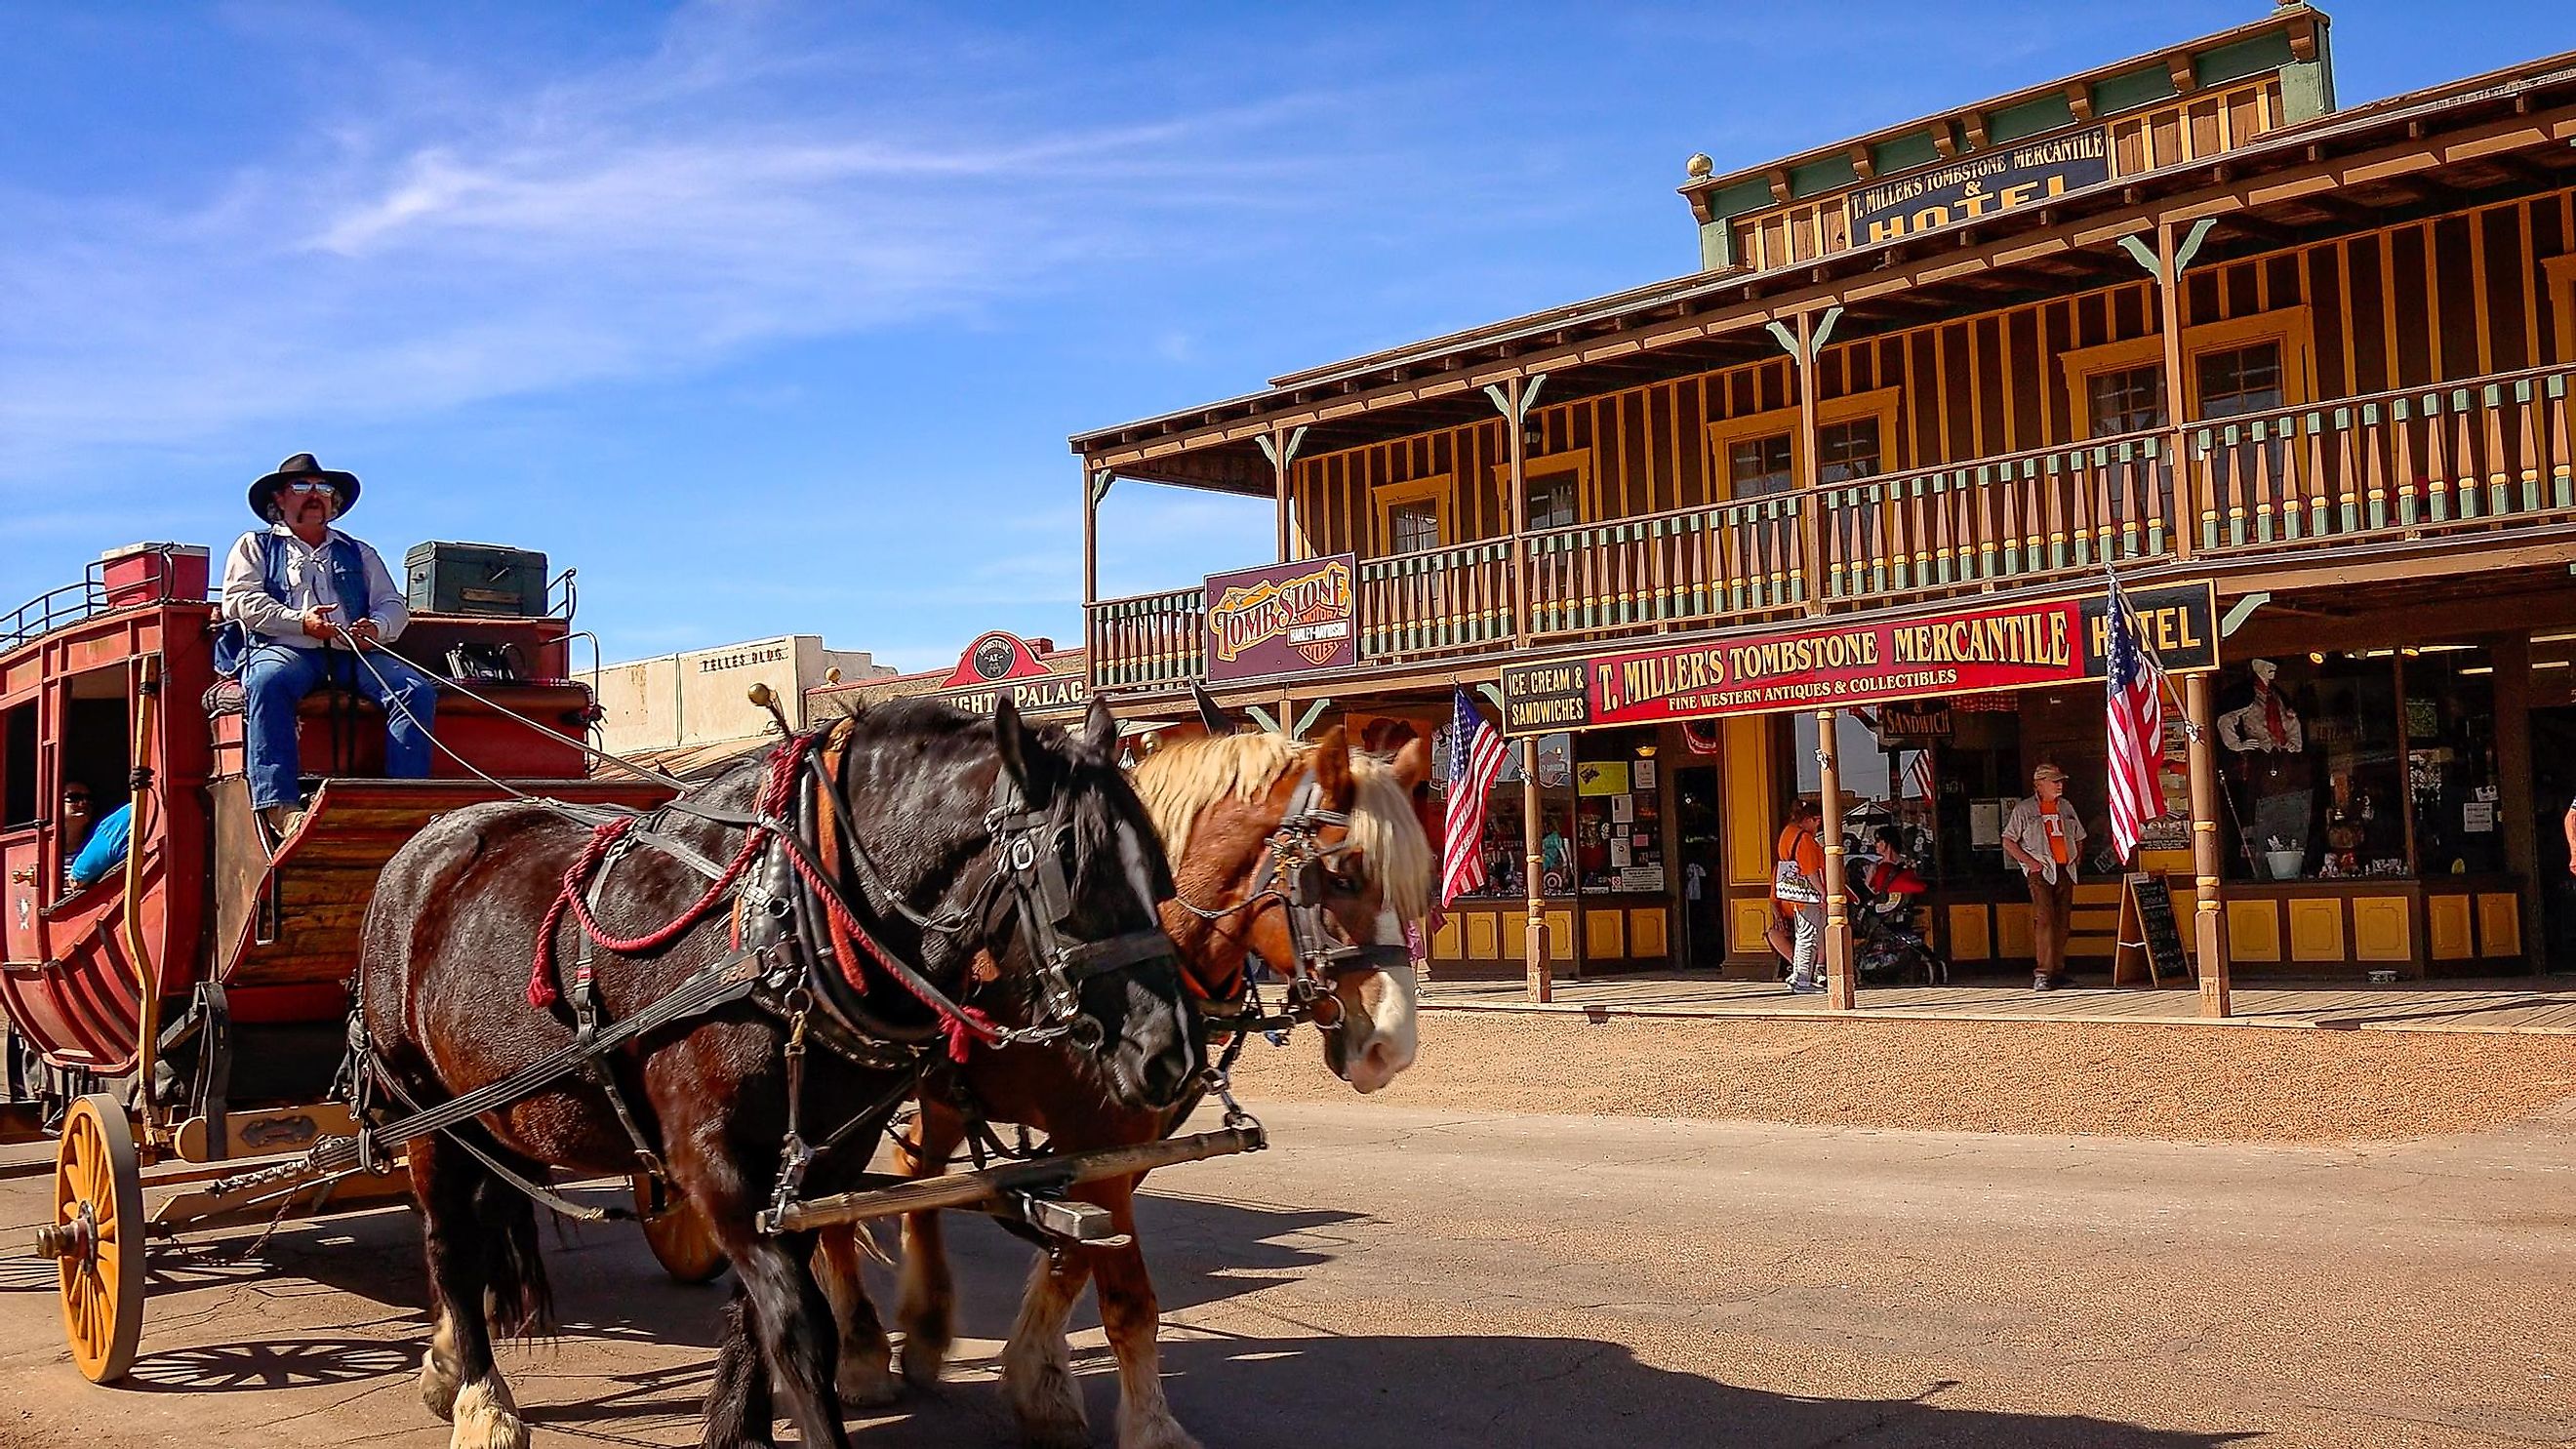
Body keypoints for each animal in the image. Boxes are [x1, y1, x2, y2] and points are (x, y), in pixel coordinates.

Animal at [357, 701, 1200, 1443]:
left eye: (1157, 869)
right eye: (1070, 868)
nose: (1173, 1051)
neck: (787, 920)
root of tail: (424, 843)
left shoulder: (821, 1164)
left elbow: (758, 1317)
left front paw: (742, 1427)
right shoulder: (714, 1162)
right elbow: (797, 1326)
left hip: (494, 1115)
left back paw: (446, 1363)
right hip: (421, 1109)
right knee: (450, 1242)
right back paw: (480, 1398)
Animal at [814, 721, 1442, 1443]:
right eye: (1340, 876)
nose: (1391, 1044)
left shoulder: (1121, 1146)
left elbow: (1075, 1254)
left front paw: (1038, 1381)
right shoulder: (1099, 1139)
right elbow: (1128, 1298)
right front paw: (1150, 1425)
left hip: (945, 1093)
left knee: (915, 1174)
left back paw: (923, 1327)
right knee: (836, 1207)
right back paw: (862, 1353)